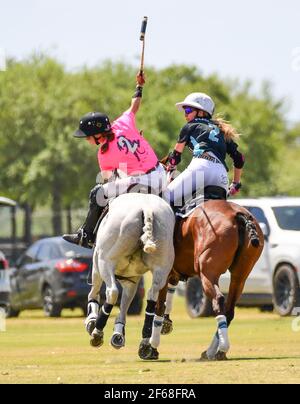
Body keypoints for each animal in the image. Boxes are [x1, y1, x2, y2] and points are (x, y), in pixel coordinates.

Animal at [84, 191, 175, 356]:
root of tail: (147, 208)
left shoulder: (97, 265)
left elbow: (94, 293)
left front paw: (92, 320)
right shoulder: (131, 278)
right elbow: (126, 302)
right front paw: (118, 334)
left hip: (105, 261)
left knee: (112, 292)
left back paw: (97, 331)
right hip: (161, 267)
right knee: (152, 296)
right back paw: (145, 343)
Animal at [138, 199, 262, 360]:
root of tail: (240, 215)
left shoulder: (162, 272)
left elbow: (158, 306)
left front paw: (149, 347)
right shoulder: (173, 274)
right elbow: (166, 301)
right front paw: (163, 327)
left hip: (208, 273)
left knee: (218, 300)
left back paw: (220, 349)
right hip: (240, 277)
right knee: (229, 309)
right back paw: (213, 351)